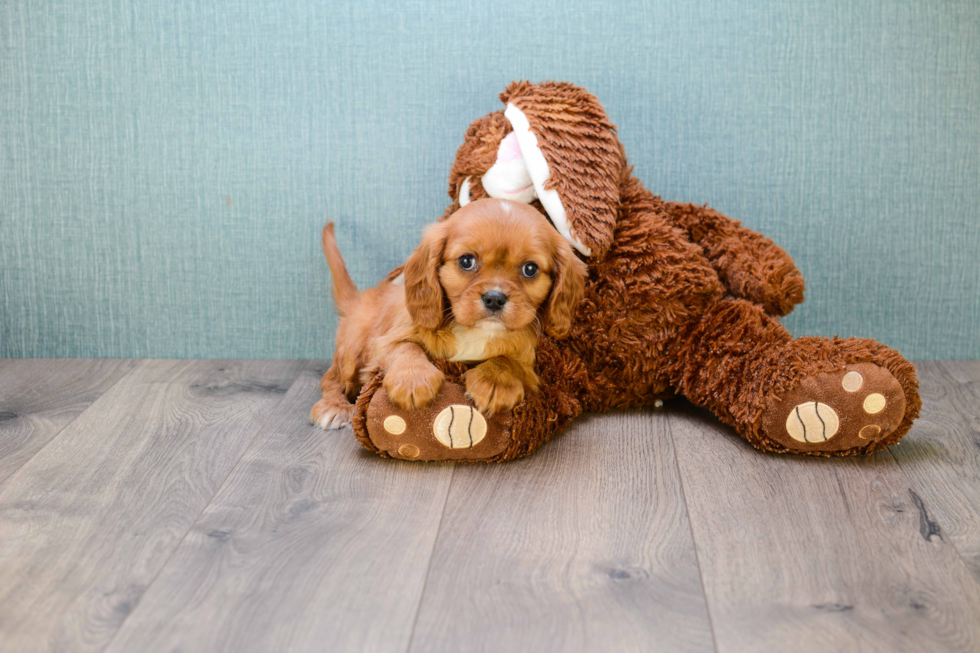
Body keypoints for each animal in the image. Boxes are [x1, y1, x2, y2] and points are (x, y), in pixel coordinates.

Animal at [310, 201, 584, 430]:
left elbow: (507, 360)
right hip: (351, 352)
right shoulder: (385, 343)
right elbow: (406, 348)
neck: (473, 331)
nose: (495, 298)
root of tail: (360, 299)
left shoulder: (527, 360)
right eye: (466, 261)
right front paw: (413, 380)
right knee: (330, 379)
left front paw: (495, 383)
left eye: (530, 269)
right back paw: (333, 407)